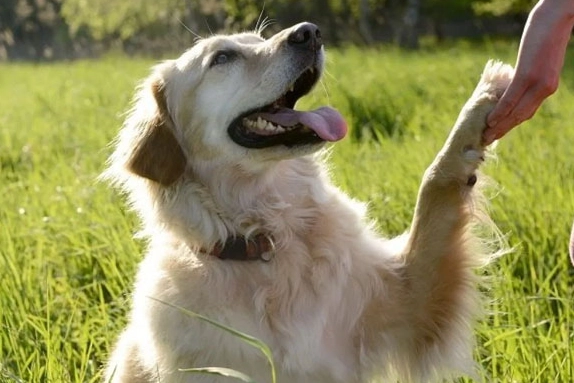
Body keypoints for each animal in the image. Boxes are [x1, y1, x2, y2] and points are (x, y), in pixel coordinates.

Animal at [106, 23, 516, 383]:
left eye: (259, 39)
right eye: (222, 57)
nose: (310, 32)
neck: (269, 240)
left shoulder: (409, 300)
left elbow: (434, 189)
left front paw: (484, 99)